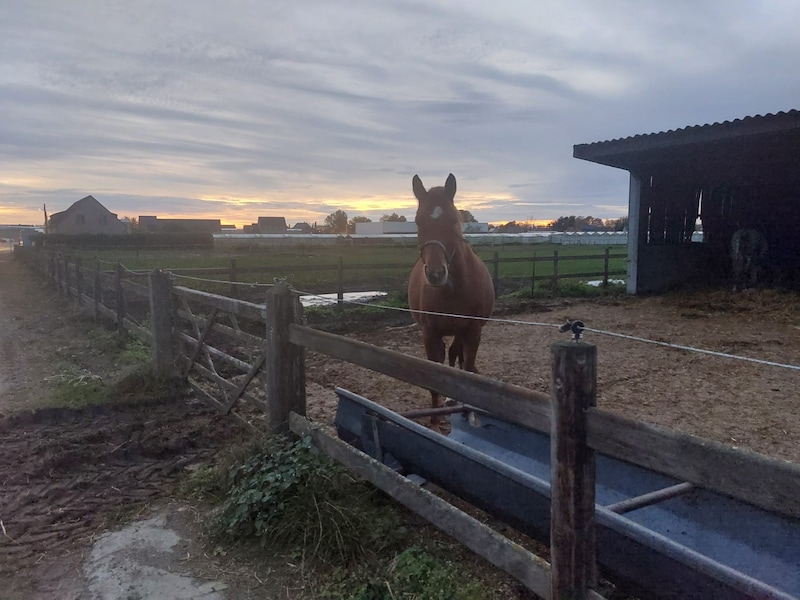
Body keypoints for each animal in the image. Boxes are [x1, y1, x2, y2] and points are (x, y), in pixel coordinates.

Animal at [407, 173, 495, 426]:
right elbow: (435, 374)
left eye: (453, 220)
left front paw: (469, 411)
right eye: (418, 222)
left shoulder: (473, 331)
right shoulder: (429, 333)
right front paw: (435, 418)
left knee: (458, 355)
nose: (436, 273)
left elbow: (467, 368)